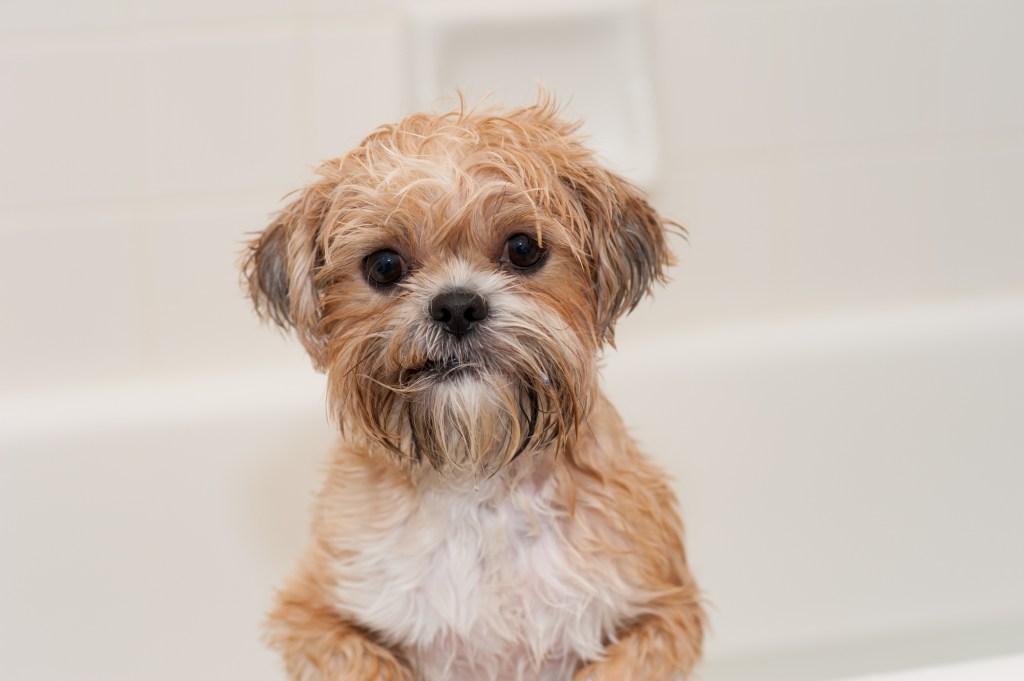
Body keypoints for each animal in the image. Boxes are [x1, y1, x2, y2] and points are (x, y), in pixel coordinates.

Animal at [241, 96, 704, 679]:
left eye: (523, 248)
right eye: (384, 264)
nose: (457, 305)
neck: (476, 484)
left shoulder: (665, 612)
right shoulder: (313, 612)